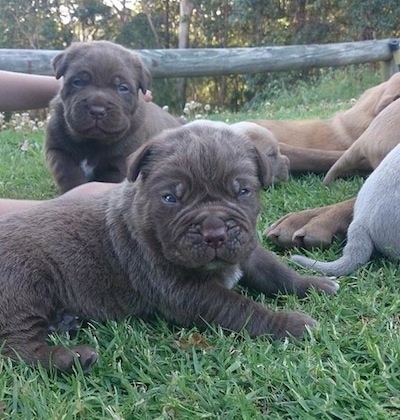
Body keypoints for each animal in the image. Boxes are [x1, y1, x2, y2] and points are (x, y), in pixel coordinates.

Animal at [0, 122, 340, 370]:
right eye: (170, 198)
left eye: (242, 191)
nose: (215, 232)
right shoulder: (186, 291)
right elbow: (242, 308)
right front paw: (289, 324)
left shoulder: (247, 249)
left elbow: (276, 272)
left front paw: (313, 284)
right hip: (24, 285)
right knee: (16, 346)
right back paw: (70, 357)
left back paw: (63, 323)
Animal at [45, 40, 180, 194]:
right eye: (78, 82)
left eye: (122, 88)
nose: (97, 110)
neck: (92, 142)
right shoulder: (57, 149)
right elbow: (67, 172)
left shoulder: (120, 163)